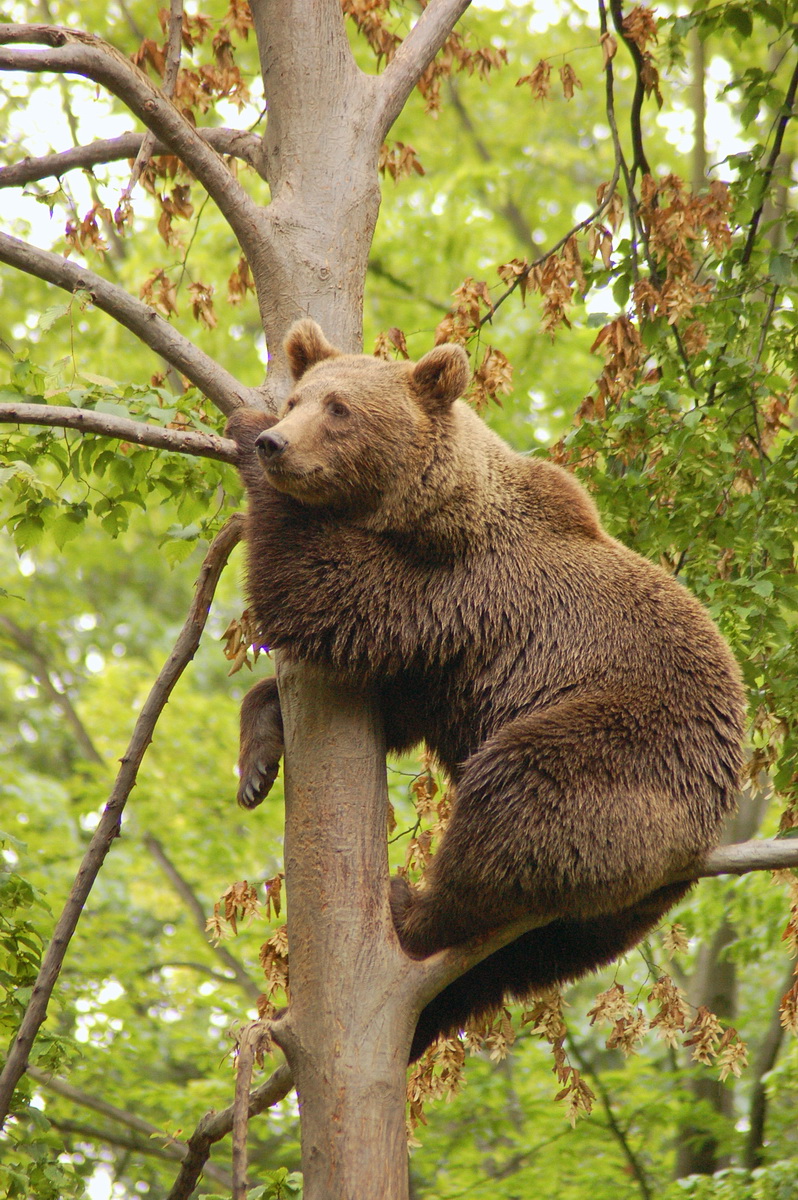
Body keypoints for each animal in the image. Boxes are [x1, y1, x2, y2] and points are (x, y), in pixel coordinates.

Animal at [225, 319, 745, 1063]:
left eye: (339, 409)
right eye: (299, 397)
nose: (277, 441)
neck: (424, 509)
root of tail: (700, 841)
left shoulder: (458, 587)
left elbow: (322, 585)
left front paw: (242, 429)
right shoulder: (442, 660)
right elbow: (377, 698)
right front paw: (258, 761)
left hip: (625, 746)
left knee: (516, 801)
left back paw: (410, 908)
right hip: (606, 920)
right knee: (514, 961)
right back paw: (421, 1019)